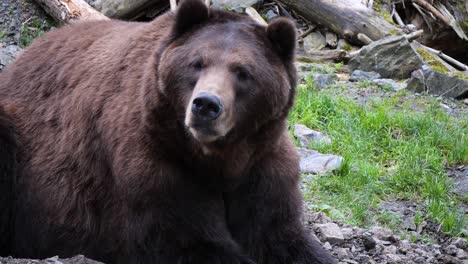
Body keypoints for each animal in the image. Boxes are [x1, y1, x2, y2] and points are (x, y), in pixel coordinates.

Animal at [0, 1, 336, 262]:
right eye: (197, 63)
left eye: (243, 72)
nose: (206, 105)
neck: (219, 159)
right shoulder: (156, 168)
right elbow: (187, 240)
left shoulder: (263, 168)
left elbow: (282, 237)